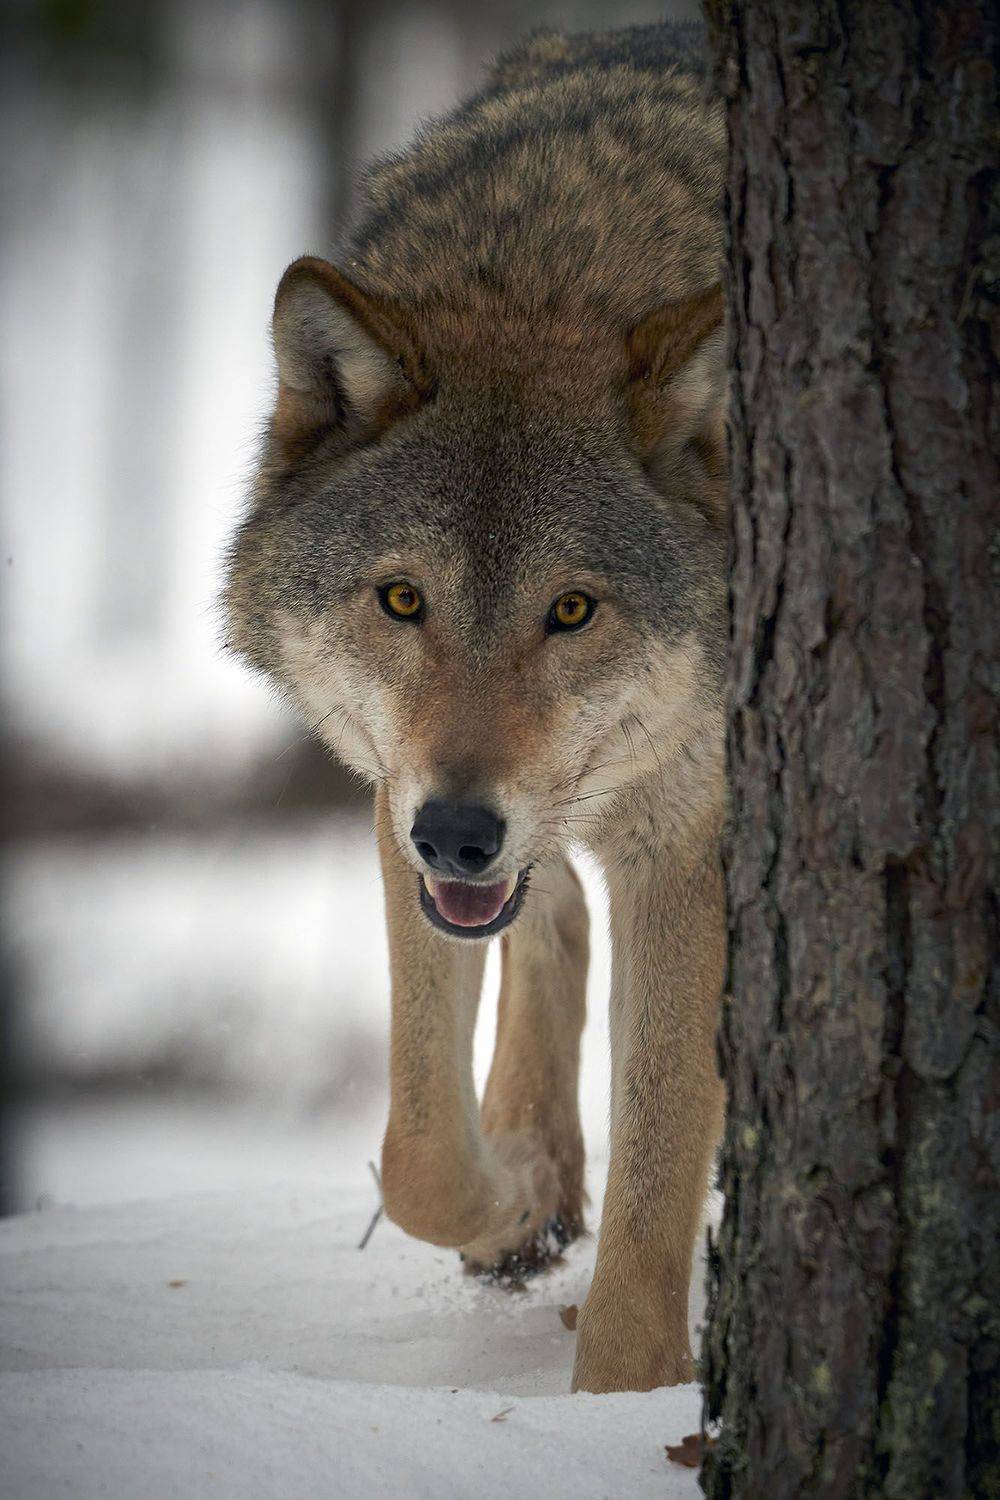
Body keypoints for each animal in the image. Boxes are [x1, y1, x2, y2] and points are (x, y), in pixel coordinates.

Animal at [224, 22, 726, 1393]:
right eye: (403, 600)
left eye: (572, 610)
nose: (458, 835)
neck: (550, 277)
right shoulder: (394, 792)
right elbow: (416, 1157)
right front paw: (514, 1198)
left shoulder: (692, 842)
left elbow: (658, 1180)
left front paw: (619, 1402)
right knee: (550, 923)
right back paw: (536, 1176)